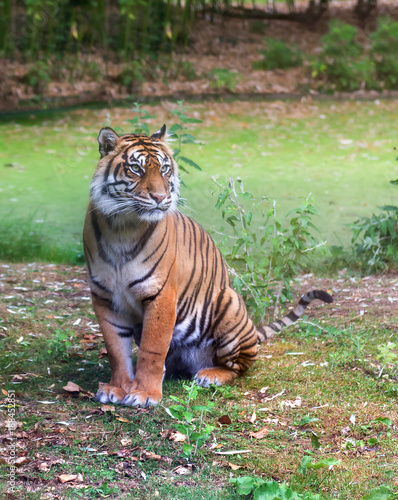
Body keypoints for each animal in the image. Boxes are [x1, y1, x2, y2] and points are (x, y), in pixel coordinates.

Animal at [84, 124, 332, 406]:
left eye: (164, 169)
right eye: (135, 168)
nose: (159, 197)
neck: (122, 228)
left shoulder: (161, 295)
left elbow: (152, 349)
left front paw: (145, 393)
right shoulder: (104, 296)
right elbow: (116, 350)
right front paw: (117, 388)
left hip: (228, 302)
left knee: (238, 366)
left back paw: (210, 375)